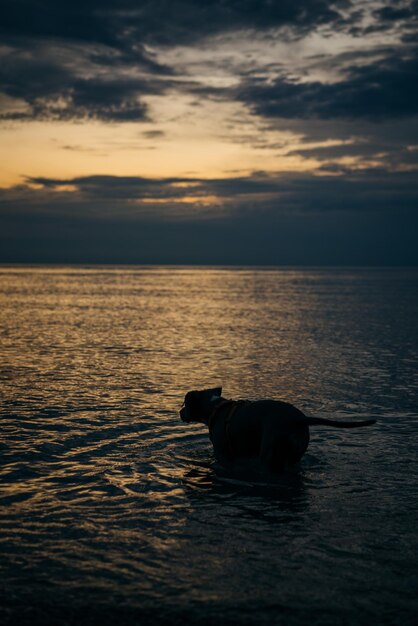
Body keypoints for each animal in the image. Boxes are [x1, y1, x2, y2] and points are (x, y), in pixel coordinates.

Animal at [180, 386, 376, 472]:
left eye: (185, 404)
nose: (180, 412)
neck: (215, 408)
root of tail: (297, 419)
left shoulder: (222, 453)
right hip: (295, 456)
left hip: (269, 454)